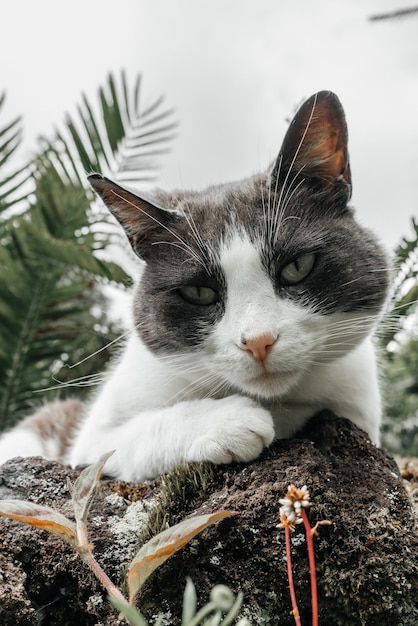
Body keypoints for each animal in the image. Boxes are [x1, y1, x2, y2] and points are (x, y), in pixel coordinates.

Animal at [0, 92, 390, 480]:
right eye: (199, 293)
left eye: (297, 267)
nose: (258, 341)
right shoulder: (93, 439)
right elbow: (125, 440)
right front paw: (229, 420)